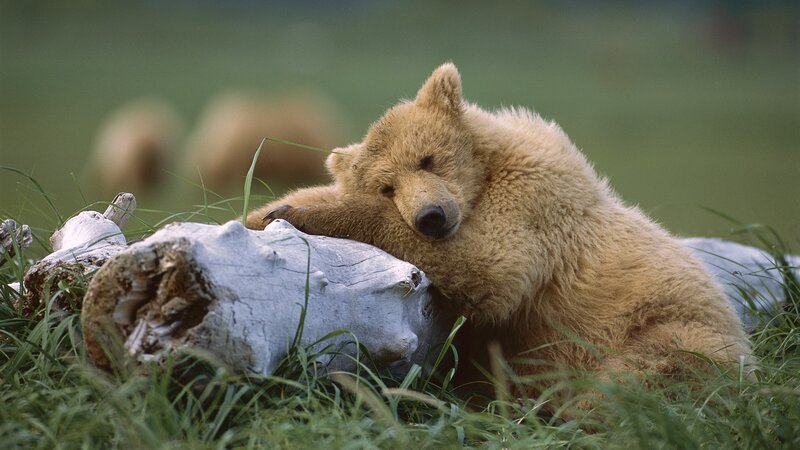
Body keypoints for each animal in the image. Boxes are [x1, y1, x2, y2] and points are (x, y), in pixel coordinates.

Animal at [247, 63, 752, 404]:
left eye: (427, 159)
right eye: (387, 186)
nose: (431, 216)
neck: (486, 173)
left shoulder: (534, 201)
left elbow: (489, 266)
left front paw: (301, 213)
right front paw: (268, 210)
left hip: (672, 328)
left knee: (642, 376)